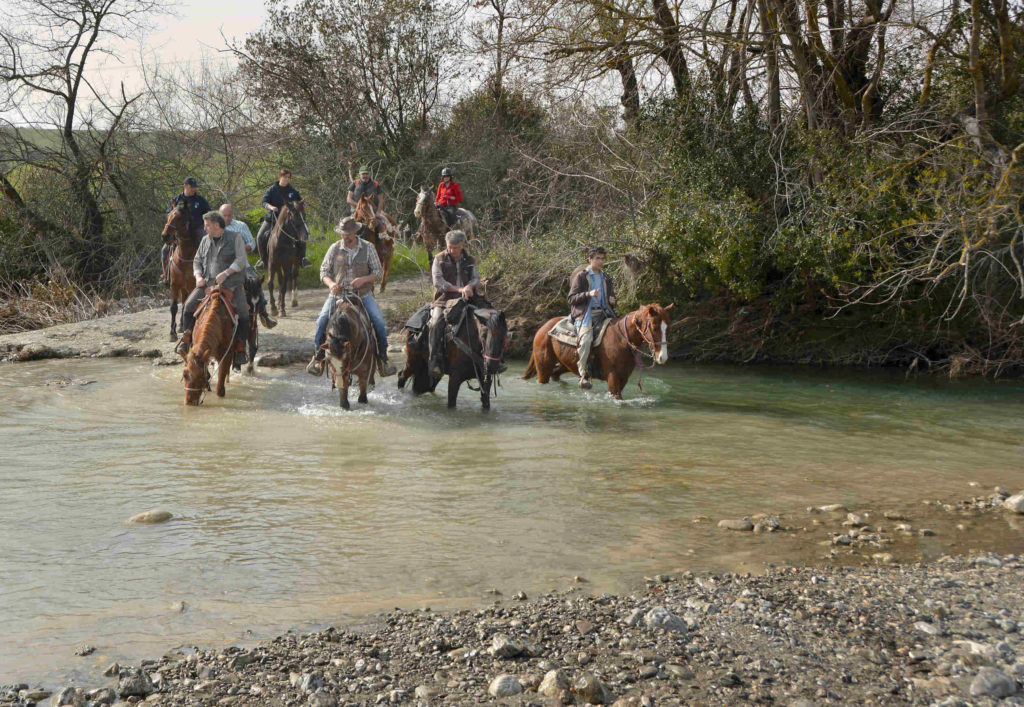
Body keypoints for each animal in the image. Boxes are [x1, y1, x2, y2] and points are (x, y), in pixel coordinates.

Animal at [161, 200, 199, 342]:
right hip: (182, 287)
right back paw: (181, 326)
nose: (165, 236)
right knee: (183, 302)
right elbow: (173, 307)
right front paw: (172, 333)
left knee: (185, 303)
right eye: (168, 215)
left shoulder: (192, 285)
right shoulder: (174, 285)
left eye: (179, 218)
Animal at [524, 303, 675, 399]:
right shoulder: (613, 377)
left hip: (566, 364)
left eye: (668, 327)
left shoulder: (623, 378)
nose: (663, 357)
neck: (621, 340)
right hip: (543, 367)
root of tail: (543, 328)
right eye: (654, 327)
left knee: (556, 374)